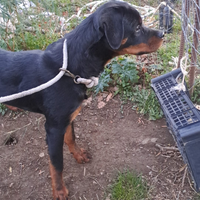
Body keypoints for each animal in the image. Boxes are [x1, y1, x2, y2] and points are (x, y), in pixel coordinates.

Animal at [0, 0, 163, 199]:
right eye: (137, 27)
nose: (163, 33)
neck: (70, 68)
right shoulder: (54, 128)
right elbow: (57, 163)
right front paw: (59, 190)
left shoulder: (68, 118)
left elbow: (71, 137)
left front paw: (78, 155)